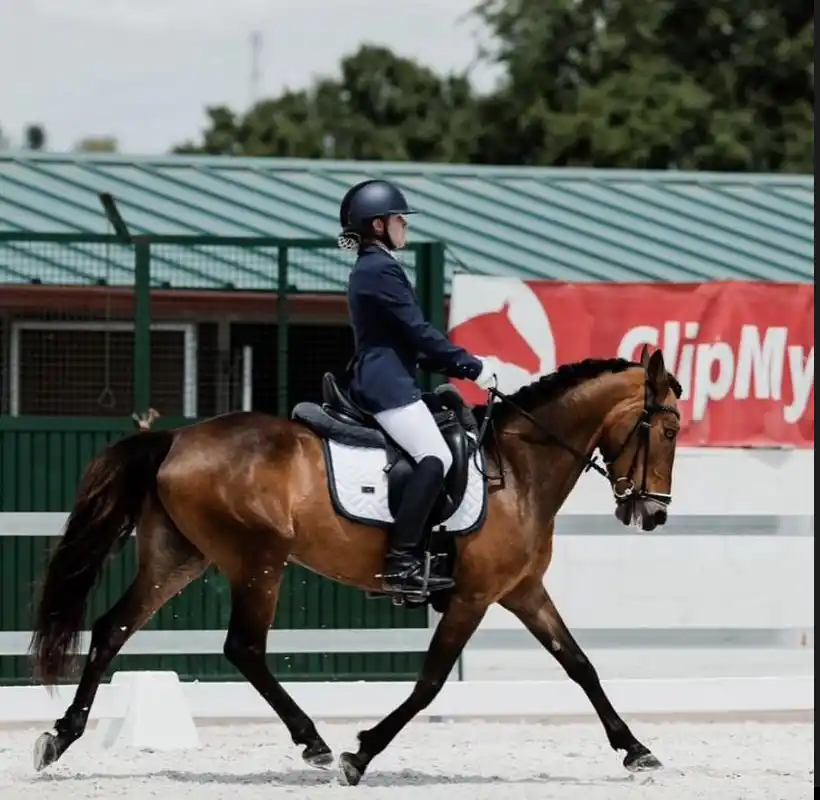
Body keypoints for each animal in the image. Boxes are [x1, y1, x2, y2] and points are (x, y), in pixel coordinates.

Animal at [27, 346, 680, 784]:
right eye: (670, 429)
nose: (652, 515)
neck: (517, 469)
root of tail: (175, 439)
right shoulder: (472, 596)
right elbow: (429, 681)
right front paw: (359, 753)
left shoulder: (522, 591)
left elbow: (581, 666)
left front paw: (636, 749)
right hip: (258, 560)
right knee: (243, 648)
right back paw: (314, 743)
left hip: (178, 558)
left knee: (111, 629)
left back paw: (60, 738)